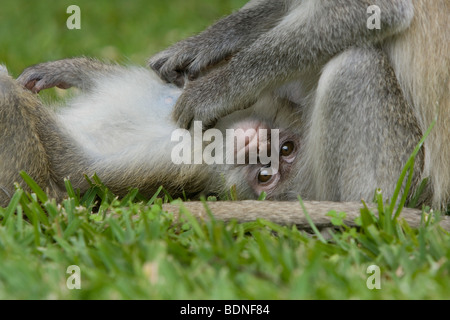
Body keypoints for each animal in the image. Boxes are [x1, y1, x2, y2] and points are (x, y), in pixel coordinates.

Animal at [0, 57, 302, 206]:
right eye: (286, 148)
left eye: (264, 176)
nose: (259, 146)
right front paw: (60, 70)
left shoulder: (172, 165)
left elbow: (72, 168)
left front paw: (8, 89)